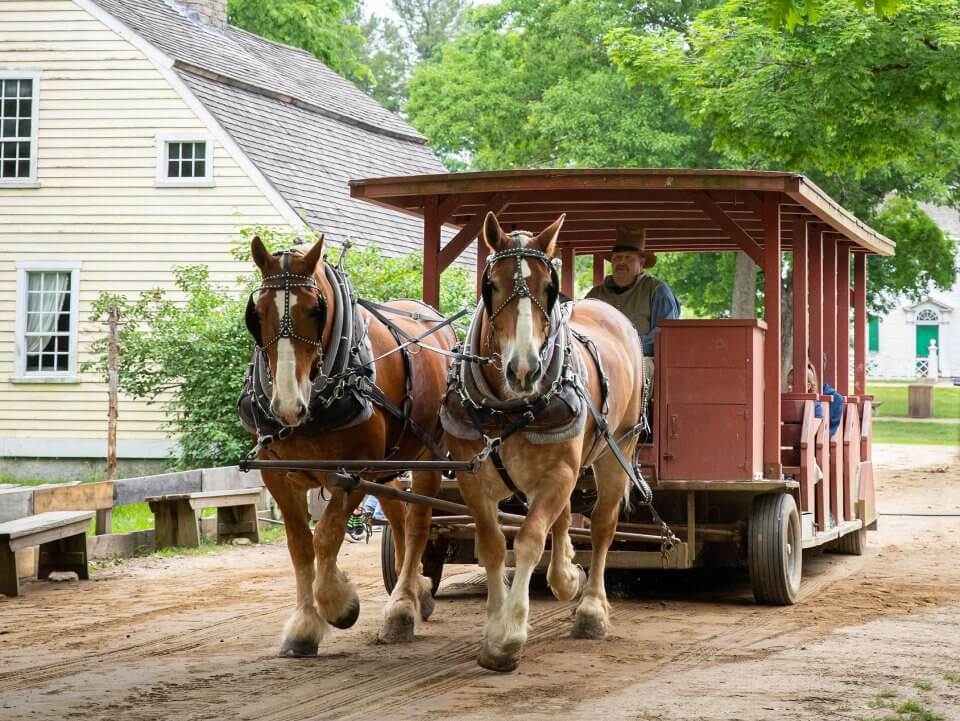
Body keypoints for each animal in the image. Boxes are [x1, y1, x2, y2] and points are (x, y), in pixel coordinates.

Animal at [239, 236, 456, 655]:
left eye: (315, 309)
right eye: (257, 313)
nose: (287, 405)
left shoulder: (354, 470)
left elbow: (327, 535)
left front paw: (339, 604)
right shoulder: (278, 476)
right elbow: (300, 546)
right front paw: (304, 625)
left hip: (427, 456)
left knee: (418, 524)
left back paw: (402, 608)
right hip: (392, 463)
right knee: (398, 514)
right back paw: (417, 592)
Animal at [440, 212, 646, 672]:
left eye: (549, 288)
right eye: (491, 285)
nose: (524, 369)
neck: (509, 406)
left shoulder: (559, 473)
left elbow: (529, 539)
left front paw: (509, 635)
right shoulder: (473, 480)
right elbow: (493, 545)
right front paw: (494, 627)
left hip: (617, 450)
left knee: (602, 524)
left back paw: (590, 609)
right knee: (566, 517)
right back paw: (566, 576)